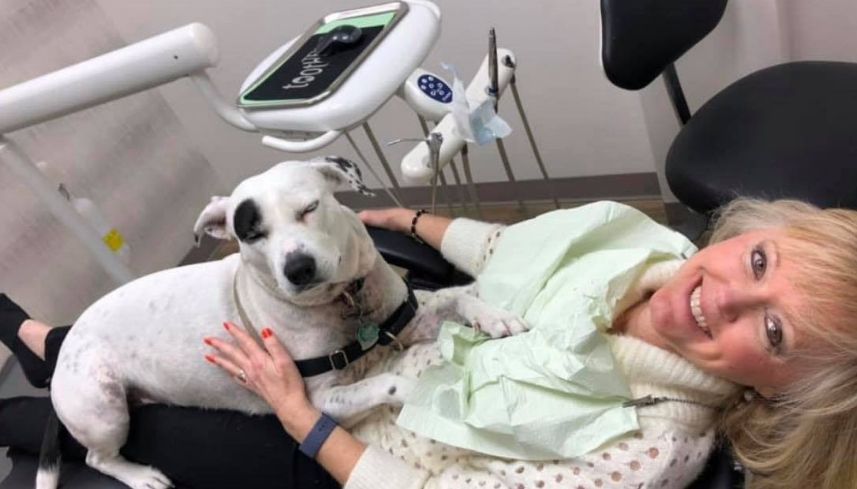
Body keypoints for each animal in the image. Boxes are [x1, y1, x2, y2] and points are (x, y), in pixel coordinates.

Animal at [40, 156, 524, 488]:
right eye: (251, 233)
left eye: (309, 207)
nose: (298, 268)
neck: (345, 302)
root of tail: (63, 350)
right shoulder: (320, 404)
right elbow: (390, 383)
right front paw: (428, 398)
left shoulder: (405, 323)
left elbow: (455, 298)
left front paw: (493, 315)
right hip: (103, 409)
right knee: (96, 459)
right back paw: (141, 476)